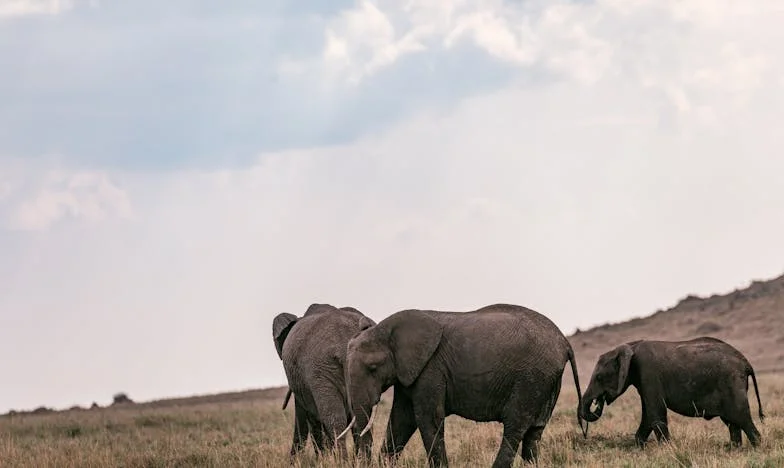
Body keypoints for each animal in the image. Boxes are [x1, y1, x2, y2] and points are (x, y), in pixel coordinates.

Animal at [272, 304, 376, 460]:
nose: (291, 462)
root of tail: (345, 342)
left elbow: (311, 417)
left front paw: (323, 459)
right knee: (362, 417)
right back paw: (360, 461)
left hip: (320, 368)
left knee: (334, 418)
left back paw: (342, 461)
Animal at [336, 304, 588, 468]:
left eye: (373, 368)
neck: (387, 327)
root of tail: (564, 342)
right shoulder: (408, 372)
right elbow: (401, 420)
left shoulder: (431, 368)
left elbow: (428, 418)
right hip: (548, 379)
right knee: (535, 431)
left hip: (532, 377)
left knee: (515, 426)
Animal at [580, 334, 764, 448]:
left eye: (599, 377)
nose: (598, 401)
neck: (631, 347)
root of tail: (746, 363)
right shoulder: (644, 381)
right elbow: (648, 416)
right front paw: (641, 448)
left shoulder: (649, 374)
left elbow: (655, 414)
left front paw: (667, 450)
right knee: (732, 422)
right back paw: (734, 450)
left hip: (731, 384)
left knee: (742, 418)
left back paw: (757, 448)